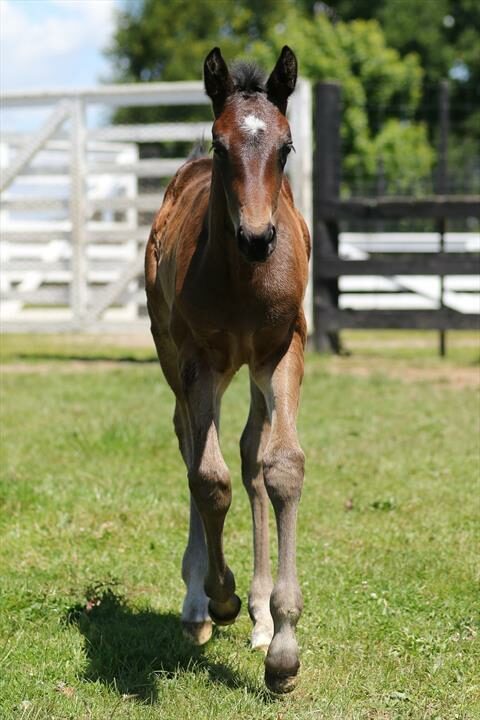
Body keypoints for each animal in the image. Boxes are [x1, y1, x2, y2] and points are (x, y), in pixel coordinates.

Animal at [145, 45, 312, 692]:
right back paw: (198, 606)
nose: (258, 237)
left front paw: (283, 647)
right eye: (221, 145)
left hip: (254, 373)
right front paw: (220, 597)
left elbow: (280, 467)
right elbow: (208, 478)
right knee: (191, 445)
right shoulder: (198, 358)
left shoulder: (283, 350)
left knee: (249, 454)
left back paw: (262, 616)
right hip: (173, 354)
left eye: (287, 146)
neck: (244, 278)